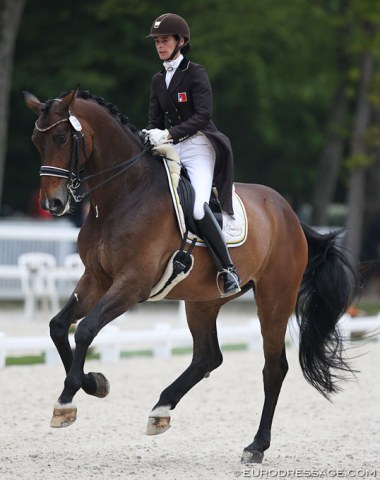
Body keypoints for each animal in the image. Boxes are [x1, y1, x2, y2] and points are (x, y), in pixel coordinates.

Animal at [24, 88, 356, 464]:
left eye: (62, 138)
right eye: (36, 140)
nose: (52, 204)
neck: (123, 194)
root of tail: (289, 213)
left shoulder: (132, 284)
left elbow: (86, 330)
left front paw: (67, 401)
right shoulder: (96, 279)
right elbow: (58, 326)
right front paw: (94, 383)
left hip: (274, 299)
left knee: (274, 368)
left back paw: (256, 445)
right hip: (203, 301)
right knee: (208, 356)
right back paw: (161, 410)